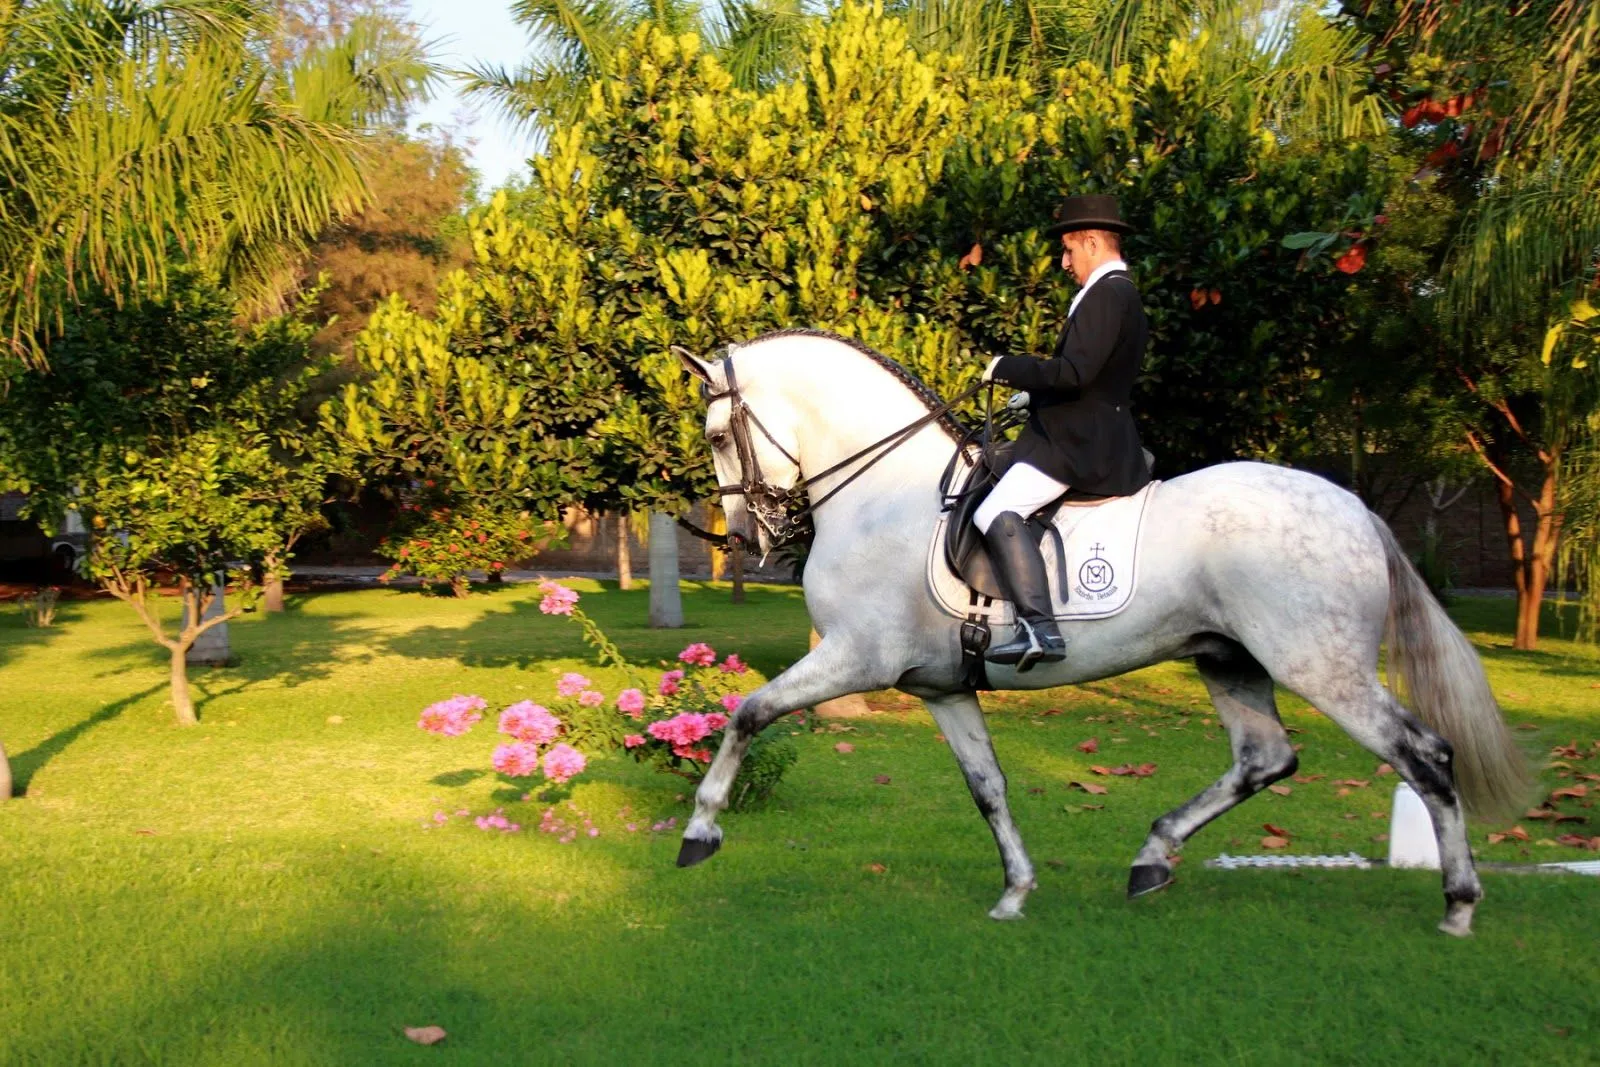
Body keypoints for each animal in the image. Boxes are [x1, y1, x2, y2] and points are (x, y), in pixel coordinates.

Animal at [670, 328, 1530, 937]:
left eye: (715, 437)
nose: (746, 537)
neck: (885, 492)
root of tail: (1356, 508)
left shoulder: (856, 657)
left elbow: (747, 712)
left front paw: (700, 830)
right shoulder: (943, 688)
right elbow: (988, 786)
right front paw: (1016, 890)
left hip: (1321, 666)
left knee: (1424, 754)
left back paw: (1459, 903)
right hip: (1230, 659)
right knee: (1266, 758)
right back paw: (1152, 858)